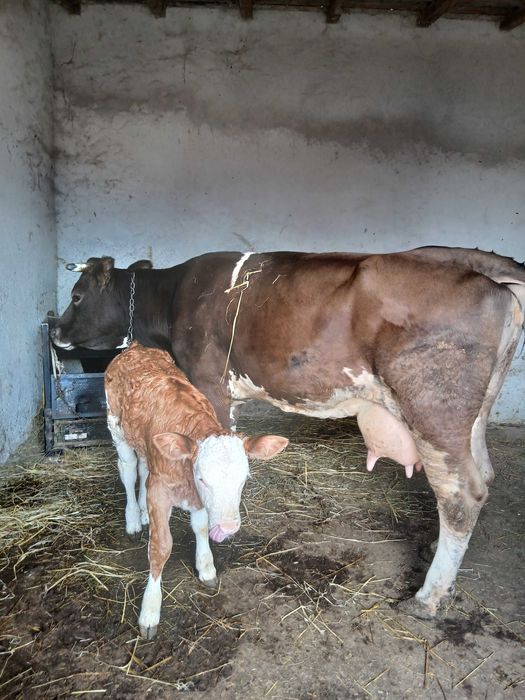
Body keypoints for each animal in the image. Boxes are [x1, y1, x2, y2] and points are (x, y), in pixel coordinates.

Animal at [104, 341, 288, 638]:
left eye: (244, 478)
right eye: (202, 479)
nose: (228, 527)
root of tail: (136, 347)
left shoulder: (196, 500)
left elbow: (200, 528)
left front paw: (206, 567)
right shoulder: (160, 491)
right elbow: (161, 546)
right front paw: (150, 610)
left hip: (144, 444)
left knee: (143, 466)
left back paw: (142, 513)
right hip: (117, 427)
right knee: (129, 469)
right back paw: (133, 518)